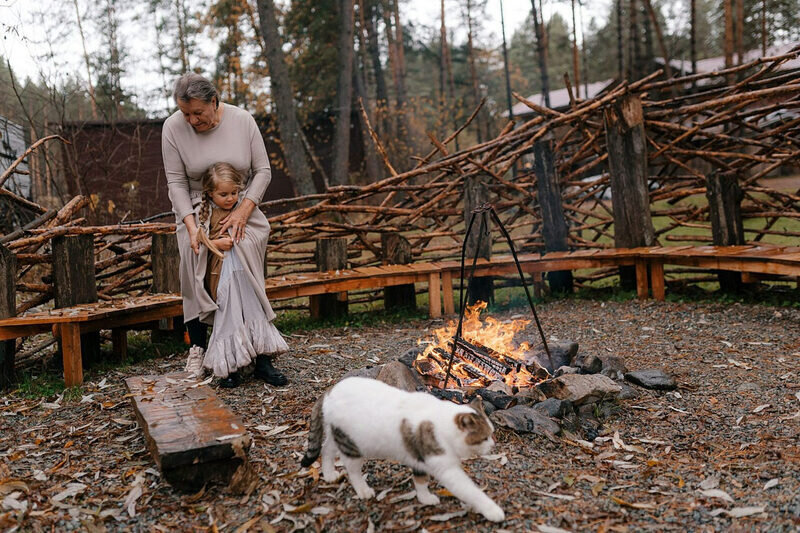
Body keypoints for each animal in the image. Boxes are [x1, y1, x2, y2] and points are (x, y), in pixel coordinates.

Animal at [300, 376, 506, 520]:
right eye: (484, 437)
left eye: (492, 433)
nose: (493, 445)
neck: (440, 423)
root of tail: (331, 390)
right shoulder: (446, 469)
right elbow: (470, 491)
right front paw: (492, 510)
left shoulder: (418, 458)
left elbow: (421, 480)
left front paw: (424, 498)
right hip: (352, 446)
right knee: (352, 470)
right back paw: (363, 490)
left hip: (340, 435)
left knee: (326, 449)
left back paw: (328, 474)